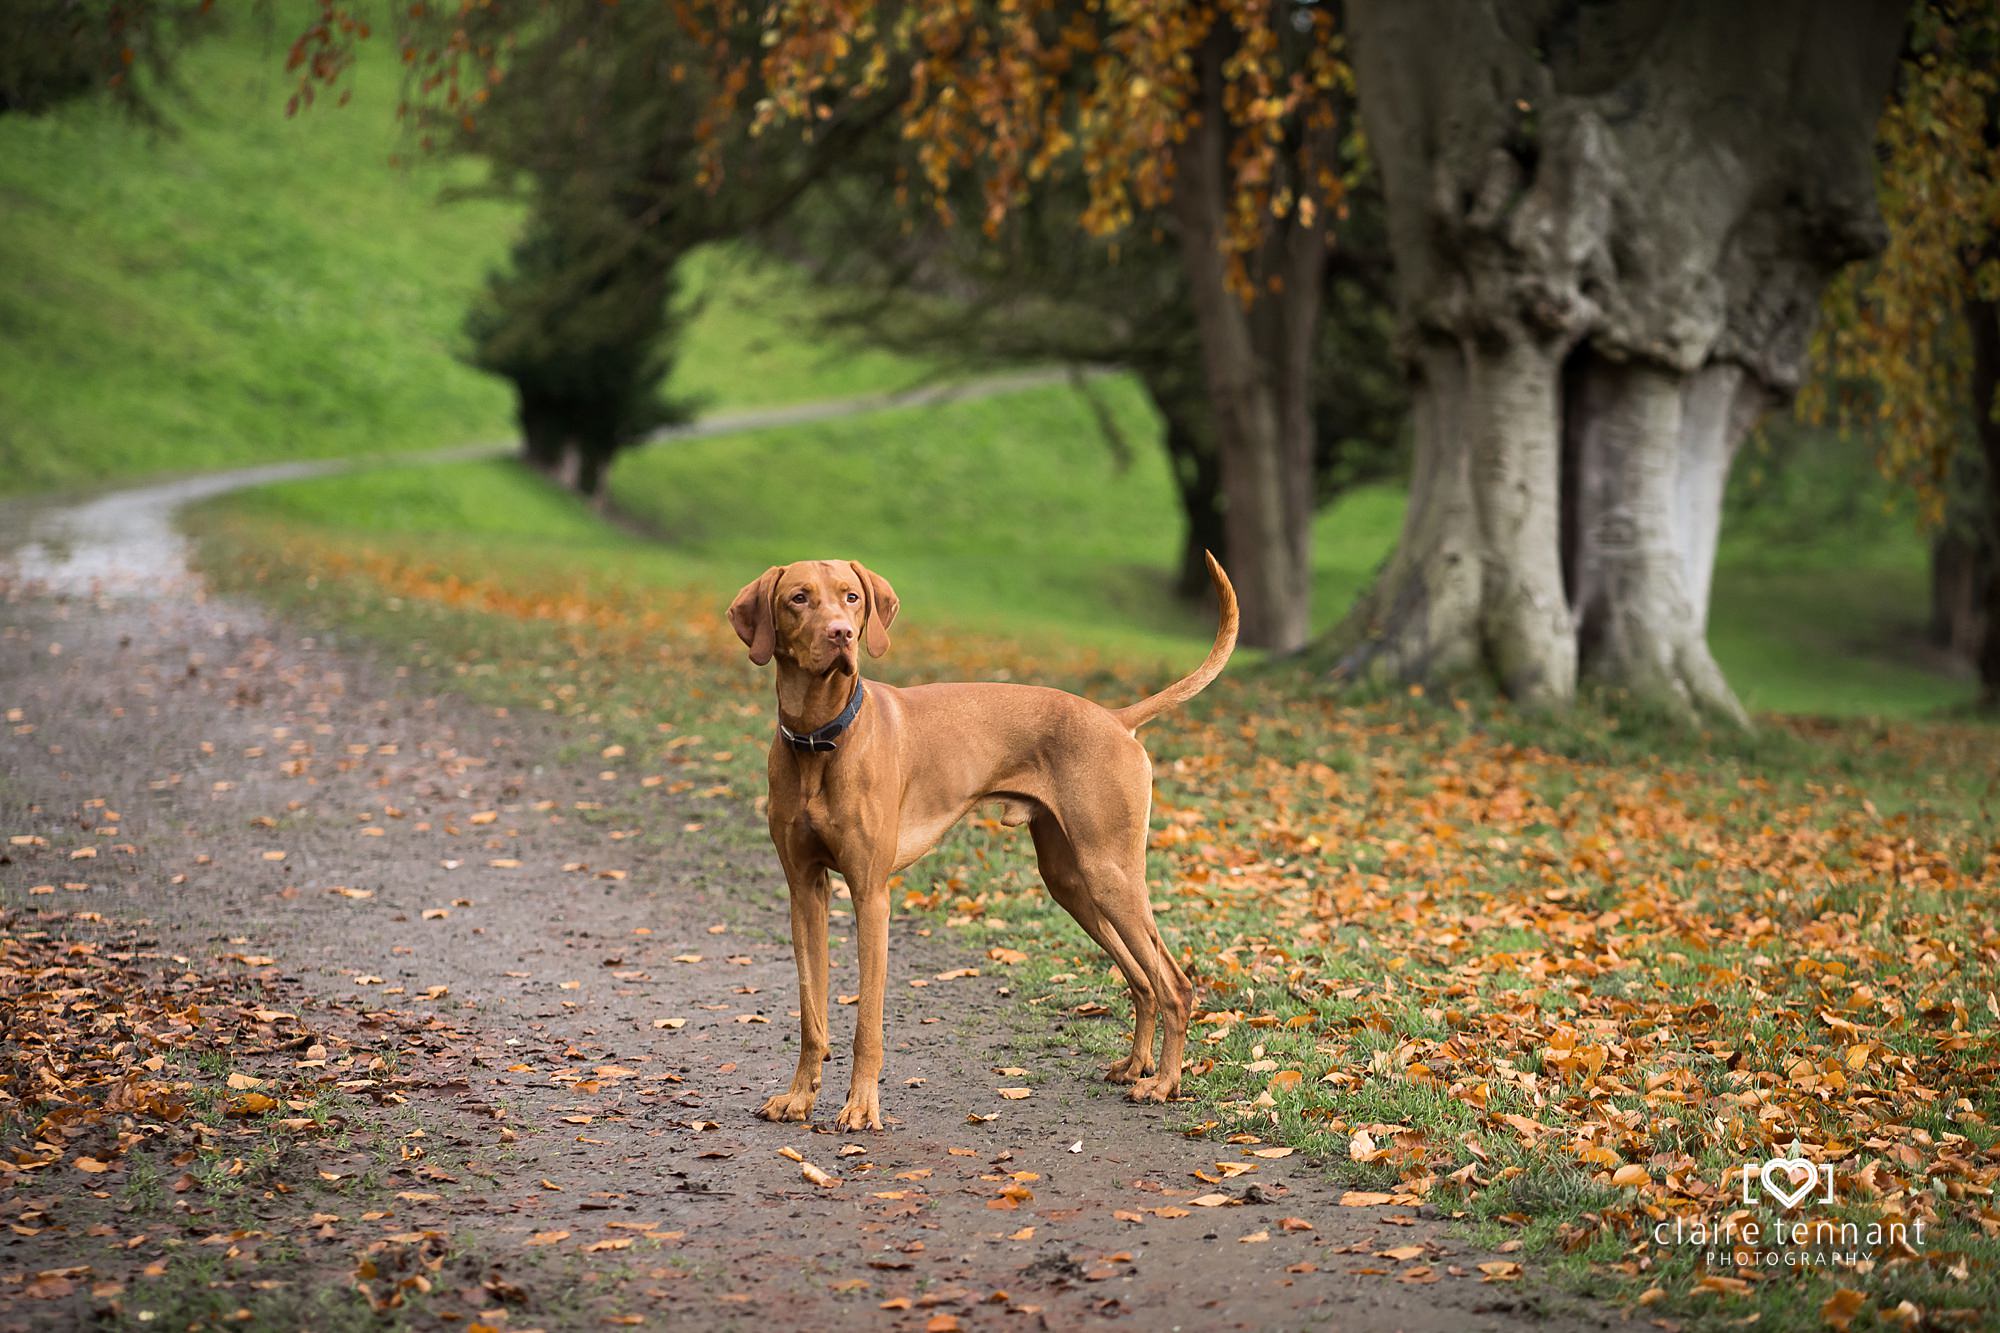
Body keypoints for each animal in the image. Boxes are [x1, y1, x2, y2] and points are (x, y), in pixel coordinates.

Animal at [732, 548, 1232, 1120]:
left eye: (851, 597)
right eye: (799, 598)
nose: (843, 634)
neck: (820, 736)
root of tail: (1113, 717)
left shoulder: (871, 894)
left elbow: (867, 1025)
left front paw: (861, 1108)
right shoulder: (805, 891)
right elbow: (811, 1014)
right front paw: (799, 1097)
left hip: (1112, 874)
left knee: (1174, 983)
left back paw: (1165, 1083)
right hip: (1072, 882)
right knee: (1143, 980)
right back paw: (1136, 1065)